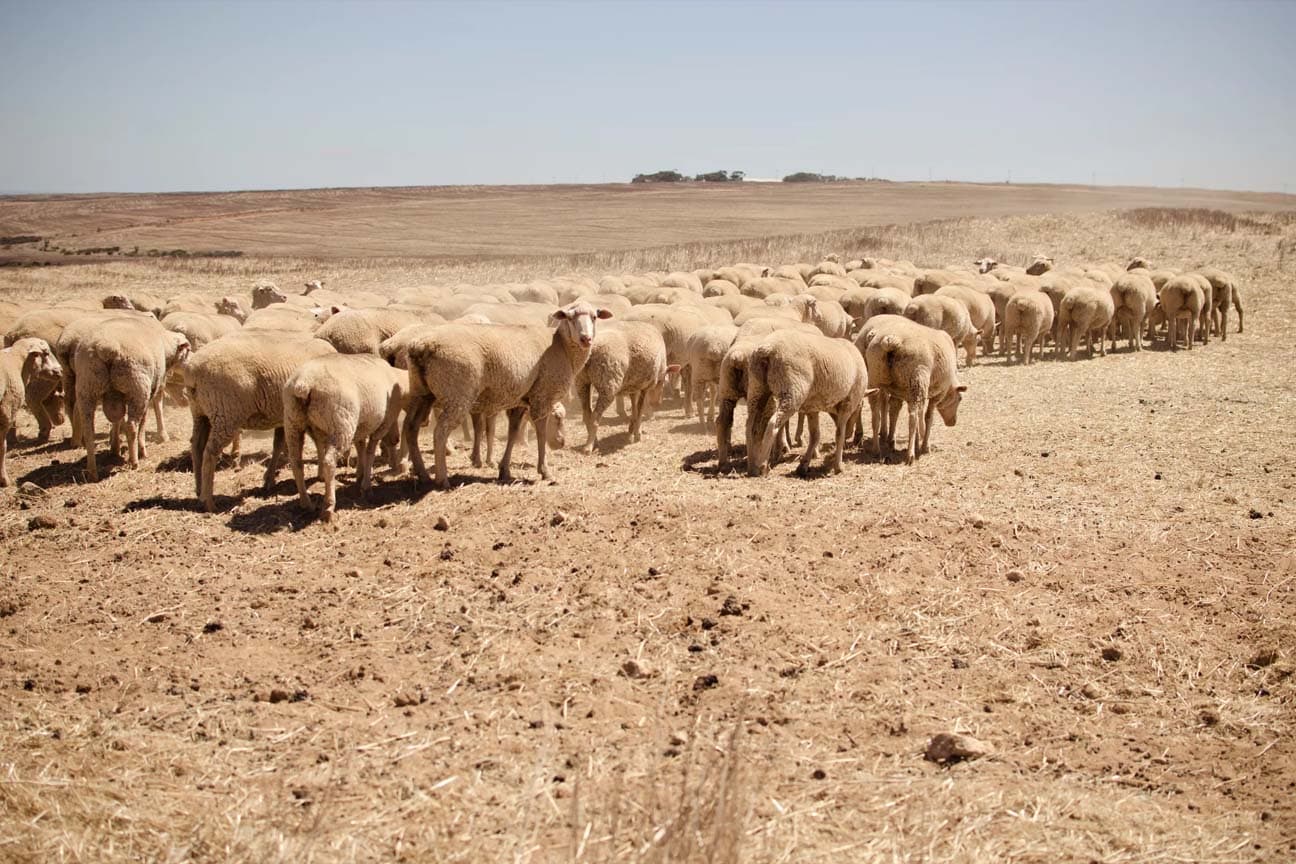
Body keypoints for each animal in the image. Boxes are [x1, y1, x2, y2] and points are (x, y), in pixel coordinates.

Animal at [189, 329, 339, 507]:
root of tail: (193, 370)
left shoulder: (283, 417)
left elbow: (278, 445)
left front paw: (269, 479)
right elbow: (317, 442)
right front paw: (321, 474)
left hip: (201, 413)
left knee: (196, 446)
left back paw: (198, 489)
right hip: (225, 414)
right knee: (210, 452)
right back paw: (208, 501)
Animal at [282, 352, 404, 520]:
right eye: (396, 419)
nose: (396, 439)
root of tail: (303, 384)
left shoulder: (360, 425)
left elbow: (361, 447)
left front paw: (359, 474)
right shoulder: (381, 425)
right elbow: (370, 453)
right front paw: (366, 486)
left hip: (293, 422)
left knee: (296, 462)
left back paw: (306, 502)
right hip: (341, 424)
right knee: (329, 462)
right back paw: (328, 506)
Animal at [401, 299, 609, 489]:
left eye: (594, 317)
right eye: (569, 317)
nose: (586, 339)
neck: (562, 347)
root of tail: (421, 346)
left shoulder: (519, 400)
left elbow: (513, 432)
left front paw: (504, 470)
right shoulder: (543, 395)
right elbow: (541, 432)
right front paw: (545, 471)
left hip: (422, 393)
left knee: (410, 427)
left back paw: (422, 474)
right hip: (457, 394)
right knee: (440, 432)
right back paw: (442, 479)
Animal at [580, 319, 679, 453]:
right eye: (661, 381)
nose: (657, 403)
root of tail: (592, 348)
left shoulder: (634, 386)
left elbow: (634, 408)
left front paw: (632, 428)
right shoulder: (645, 386)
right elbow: (640, 409)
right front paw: (637, 434)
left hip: (581, 381)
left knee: (587, 414)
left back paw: (595, 441)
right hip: (608, 384)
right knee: (595, 416)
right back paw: (588, 446)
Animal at [860, 316, 964, 466]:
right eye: (960, 399)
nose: (953, 422)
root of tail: (892, 341)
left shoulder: (901, 392)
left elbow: (895, 411)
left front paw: (903, 442)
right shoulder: (936, 395)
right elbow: (928, 417)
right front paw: (925, 446)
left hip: (876, 377)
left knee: (875, 415)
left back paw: (876, 449)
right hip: (918, 379)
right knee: (913, 417)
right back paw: (910, 455)